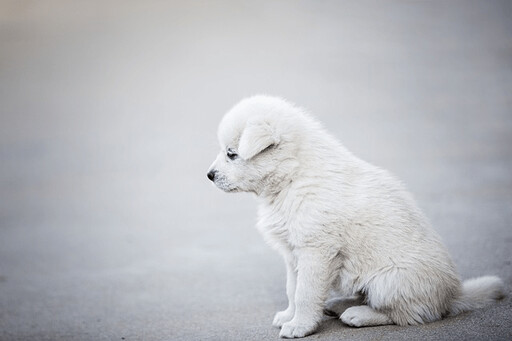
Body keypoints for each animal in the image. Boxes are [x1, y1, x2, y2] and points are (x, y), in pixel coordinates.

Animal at [207, 95, 504, 338]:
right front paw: (288, 316)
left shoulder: (316, 251)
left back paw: (359, 315)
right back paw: (338, 304)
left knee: (408, 315)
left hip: (390, 281)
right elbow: (293, 288)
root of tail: (452, 297)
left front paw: (300, 326)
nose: (209, 175)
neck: (293, 177)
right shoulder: (293, 253)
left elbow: (305, 293)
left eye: (232, 154)